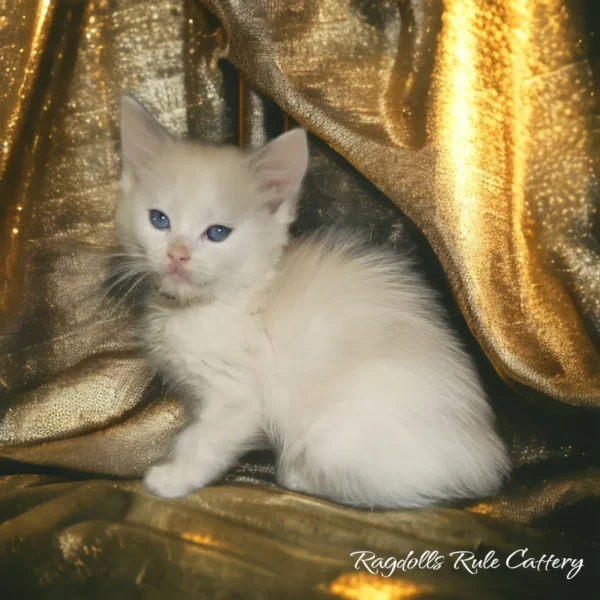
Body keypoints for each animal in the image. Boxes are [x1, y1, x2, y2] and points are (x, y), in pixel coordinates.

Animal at [115, 94, 508, 506]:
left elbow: (201, 441)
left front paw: (172, 479)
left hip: (337, 435)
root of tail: (486, 458)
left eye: (218, 233)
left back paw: (296, 474)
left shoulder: (238, 395)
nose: (177, 254)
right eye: (159, 220)